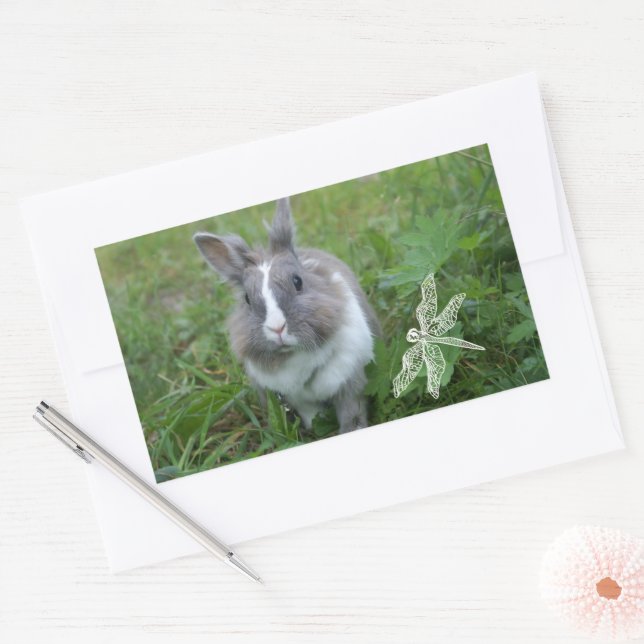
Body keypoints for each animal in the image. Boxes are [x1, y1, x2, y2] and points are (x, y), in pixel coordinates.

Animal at [193, 197, 381, 433]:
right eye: (247, 298)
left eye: (297, 281)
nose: (277, 328)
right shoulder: (298, 400)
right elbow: (311, 415)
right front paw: (314, 427)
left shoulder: (350, 382)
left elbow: (352, 413)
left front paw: (352, 430)